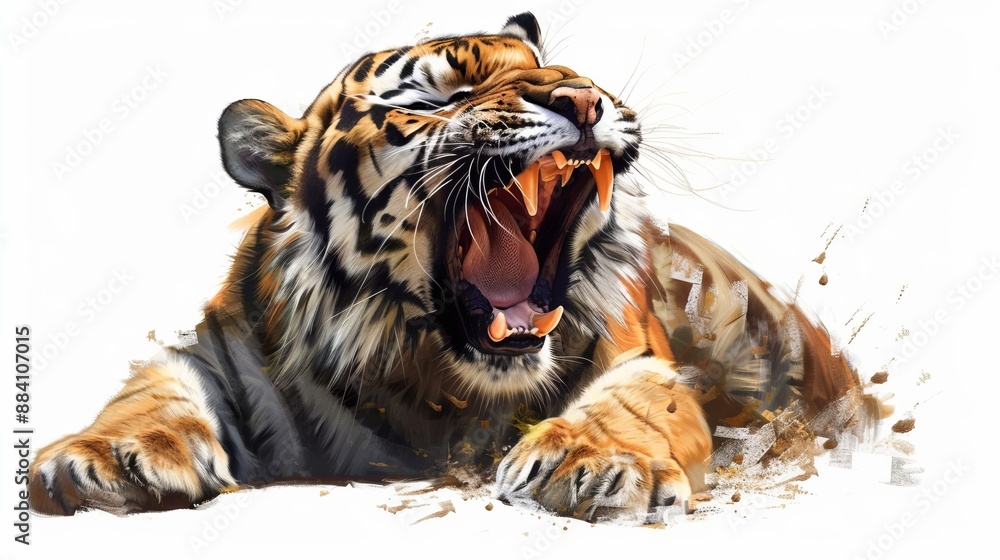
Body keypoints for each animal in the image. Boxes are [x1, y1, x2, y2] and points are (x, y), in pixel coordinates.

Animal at [29, 12, 881, 521]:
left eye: (568, 70)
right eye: (440, 97)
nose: (584, 99)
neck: (433, 382)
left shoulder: (640, 357)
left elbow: (633, 405)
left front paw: (588, 460)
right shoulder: (220, 350)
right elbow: (152, 386)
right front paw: (107, 458)